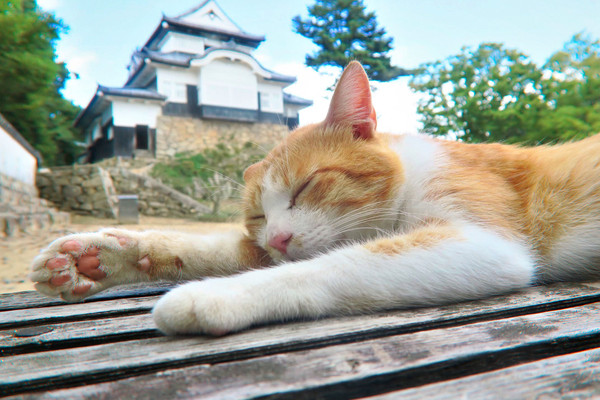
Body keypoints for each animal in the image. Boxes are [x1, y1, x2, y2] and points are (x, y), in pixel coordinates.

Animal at [31, 61, 600, 336]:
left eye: (305, 187)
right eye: (258, 216)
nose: (280, 237)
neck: (409, 177)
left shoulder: (481, 243)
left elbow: (331, 265)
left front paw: (214, 297)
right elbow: (214, 250)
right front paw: (99, 257)